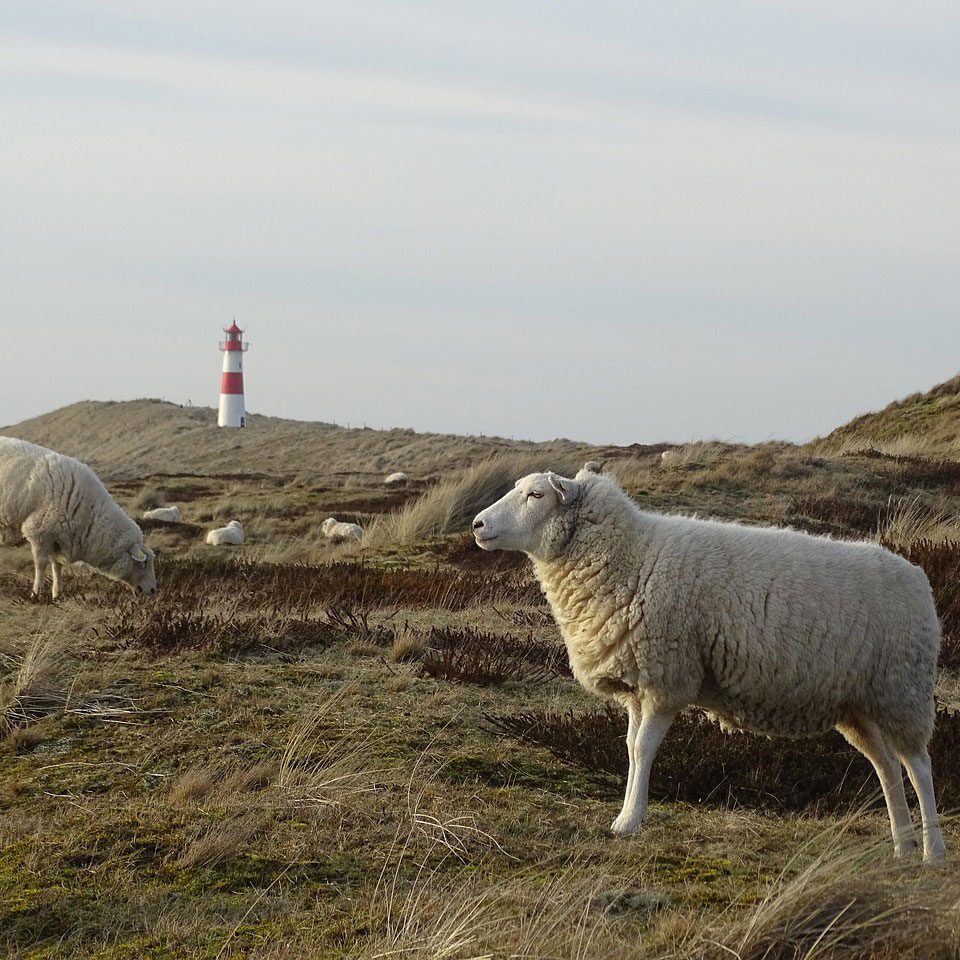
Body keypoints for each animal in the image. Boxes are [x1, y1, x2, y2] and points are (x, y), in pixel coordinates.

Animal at [0, 436, 157, 599]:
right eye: (144, 563)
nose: (153, 590)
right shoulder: (38, 532)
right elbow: (40, 564)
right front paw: (36, 593)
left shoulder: (56, 537)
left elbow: (56, 565)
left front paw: (57, 593)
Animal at [473, 465, 946, 863]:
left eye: (535, 494)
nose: (477, 524)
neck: (631, 557)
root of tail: (918, 577)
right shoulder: (639, 683)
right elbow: (629, 747)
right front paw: (626, 812)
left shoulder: (667, 678)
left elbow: (643, 749)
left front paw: (629, 822)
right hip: (859, 703)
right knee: (887, 766)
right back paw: (902, 845)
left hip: (901, 689)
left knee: (919, 767)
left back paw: (932, 851)